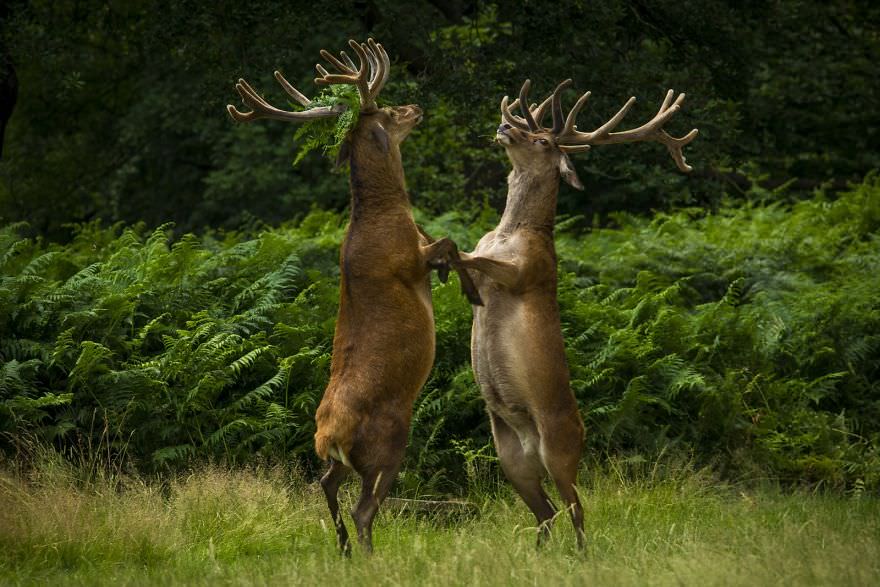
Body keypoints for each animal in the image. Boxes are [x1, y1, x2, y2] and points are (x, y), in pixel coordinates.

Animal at [227, 38, 481, 554]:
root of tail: (327, 436)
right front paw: (466, 286)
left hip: (342, 461)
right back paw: (367, 554)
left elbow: (447, 242)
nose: (415, 108)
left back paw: (343, 548)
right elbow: (448, 243)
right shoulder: (409, 260)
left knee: (325, 484)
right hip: (387, 443)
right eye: (387, 110)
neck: (387, 213)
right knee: (366, 508)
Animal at [452, 79, 698, 548]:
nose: (503, 127)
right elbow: (468, 260)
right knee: (546, 512)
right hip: (510, 458)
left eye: (543, 140)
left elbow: (475, 258)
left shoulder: (529, 271)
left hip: (561, 449)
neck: (510, 233)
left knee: (577, 510)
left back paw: (581, 554)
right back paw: (539, 552)